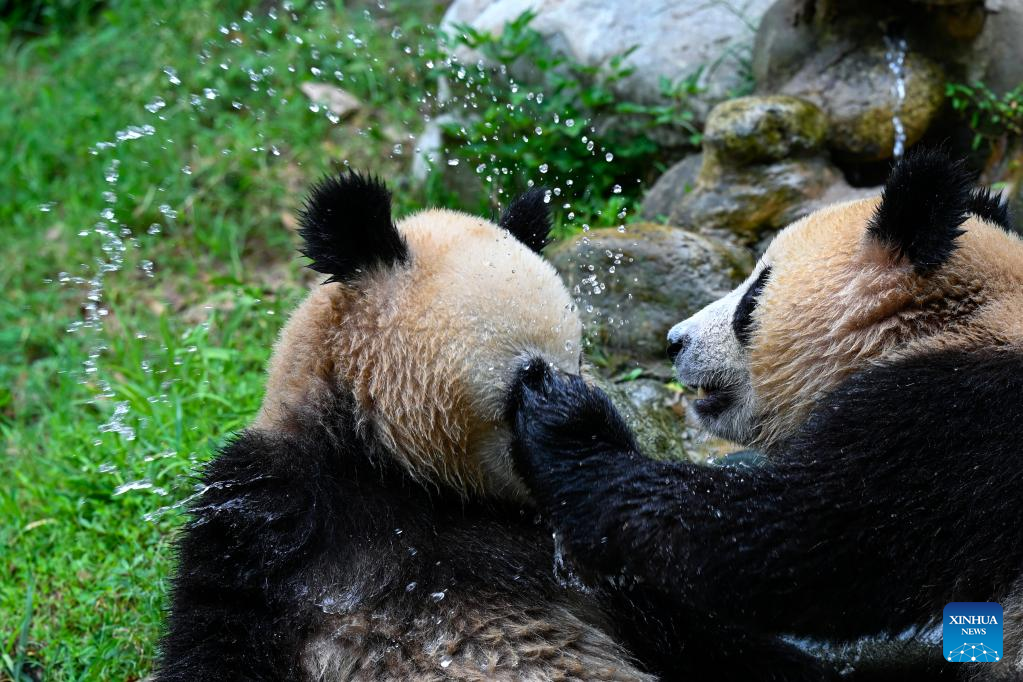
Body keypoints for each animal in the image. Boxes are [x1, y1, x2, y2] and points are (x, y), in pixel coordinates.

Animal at [511, 150, 1023, 682]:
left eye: (753, 296)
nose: (674, 342)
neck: (945, 320)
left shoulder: (962, 419)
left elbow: (791, 540)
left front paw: (566, 422)